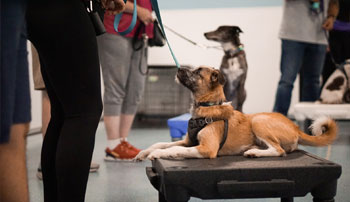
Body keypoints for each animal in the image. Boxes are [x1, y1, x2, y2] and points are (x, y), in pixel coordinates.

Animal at [135, 66, 338, 161]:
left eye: (198, 71)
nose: (178, 69)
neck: (207, 105)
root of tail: (296, 127)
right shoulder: (188, 141)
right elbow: (161, 143)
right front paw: (144, 153)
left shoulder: (207, 148)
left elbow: (173, 149)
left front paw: (156, 155)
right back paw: (253, 149)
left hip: (259, 120)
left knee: (279, 151)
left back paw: (254, 153)